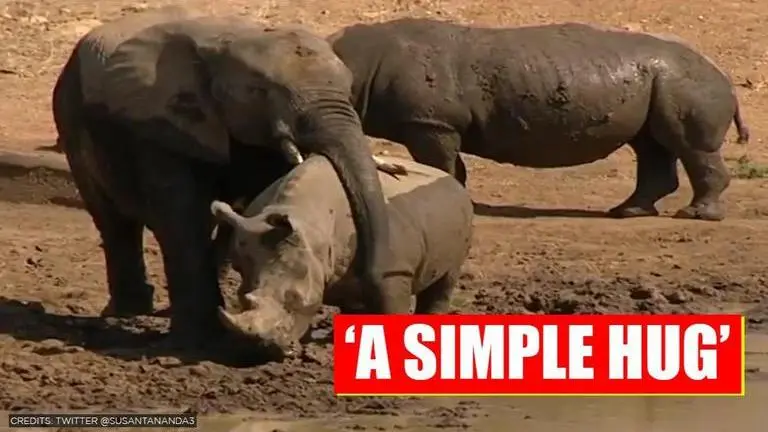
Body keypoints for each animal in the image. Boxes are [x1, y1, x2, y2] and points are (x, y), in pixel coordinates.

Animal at [52, 9, 393, 346]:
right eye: (259, 91)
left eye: (349, 89)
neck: (229, 41)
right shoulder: (158, 126)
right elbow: (183, 219)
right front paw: (200, 337)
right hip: (70, 118)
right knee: (114, 222)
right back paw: (128, 310)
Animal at [210, 154, 474, 357]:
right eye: (243, 297)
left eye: (294, 299)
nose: (261, 349)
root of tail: (451, 178)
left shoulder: (393, 271)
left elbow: (392, 305)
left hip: (461, 211)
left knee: (448, 277)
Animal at [328, 19, 751, 221]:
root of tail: (725, 75)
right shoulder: (437, 124)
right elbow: (455, 168)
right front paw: (465, 203)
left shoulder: (430, 122)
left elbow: (440, 165)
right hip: (664, 82)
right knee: (652, 144)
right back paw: (627, 212)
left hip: (685, 81)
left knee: (687, 146)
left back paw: (695, 215)